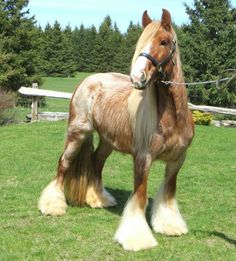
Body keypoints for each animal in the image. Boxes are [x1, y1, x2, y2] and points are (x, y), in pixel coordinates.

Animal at [38, 9, 194, 251]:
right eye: (141, 42)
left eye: (164, 41)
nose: (137, 77)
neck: (172, 119)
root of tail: (86, 81)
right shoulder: (143, 159)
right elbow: (139, 197)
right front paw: (137, 238)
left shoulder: (177, 160)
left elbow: (169, 193)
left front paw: (170, 226)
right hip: (77, 134)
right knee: (64, 164)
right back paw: (52, 205)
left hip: (107, 142)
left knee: (96, 162)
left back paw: (98, 199)